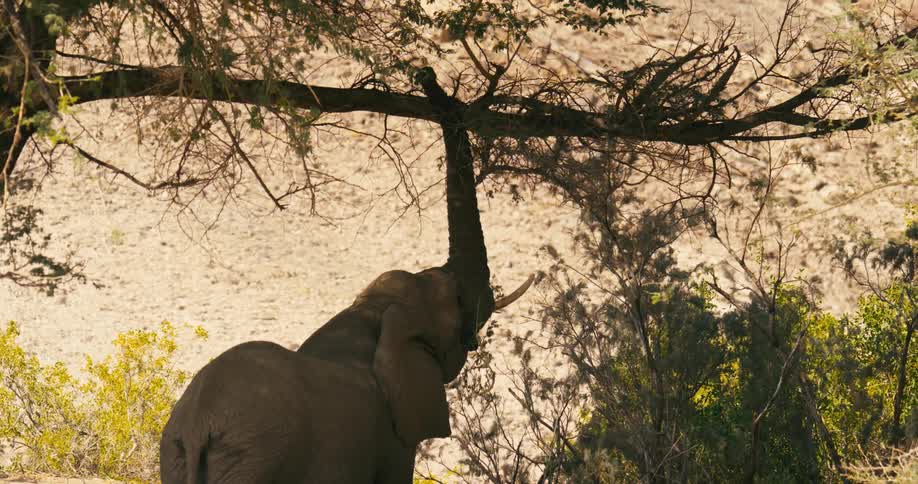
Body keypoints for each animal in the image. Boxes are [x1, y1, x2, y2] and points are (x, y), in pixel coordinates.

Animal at [159, 267, 532, 484]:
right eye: (454, 305)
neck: (370, 311)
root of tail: (198, 423)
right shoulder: (391, 433)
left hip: (178, 459)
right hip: (256, 459)